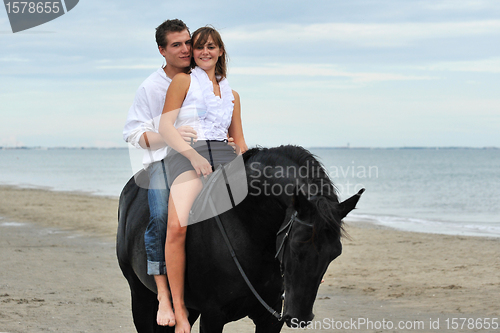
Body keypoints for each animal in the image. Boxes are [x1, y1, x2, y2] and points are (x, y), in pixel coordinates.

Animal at [119, 145, 366, 332]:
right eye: (296, 247)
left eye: (335, 254)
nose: (300, 317)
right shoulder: (212, 316)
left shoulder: (270, 318)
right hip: (140, 294)